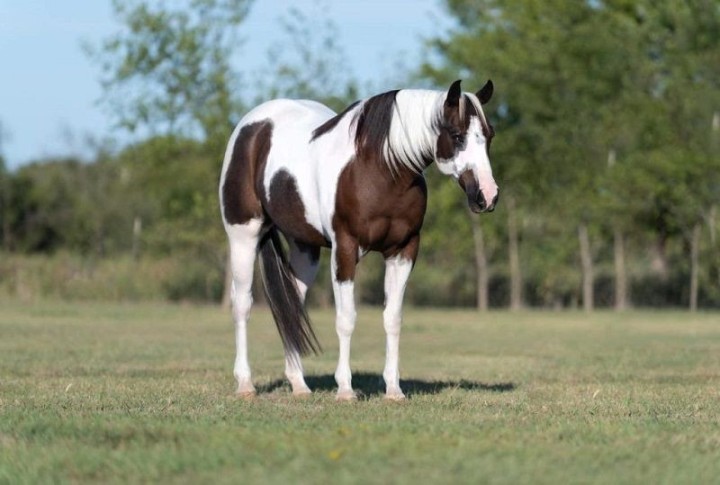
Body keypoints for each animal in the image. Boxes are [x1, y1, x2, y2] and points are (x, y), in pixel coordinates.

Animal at [219, 79, 498, 401]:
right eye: (457, 135)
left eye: (489, 135)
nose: (487, 196)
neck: (380, 169)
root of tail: (251, 127)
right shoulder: (346, 249)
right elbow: (346, 319)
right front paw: (345, 390)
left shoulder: (403, 250)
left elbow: (393, 318)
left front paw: (393, 390)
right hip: (243, 235)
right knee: (242, 303)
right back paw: (245, 384)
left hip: (305, 248)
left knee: (292, 306)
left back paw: (299, 385)